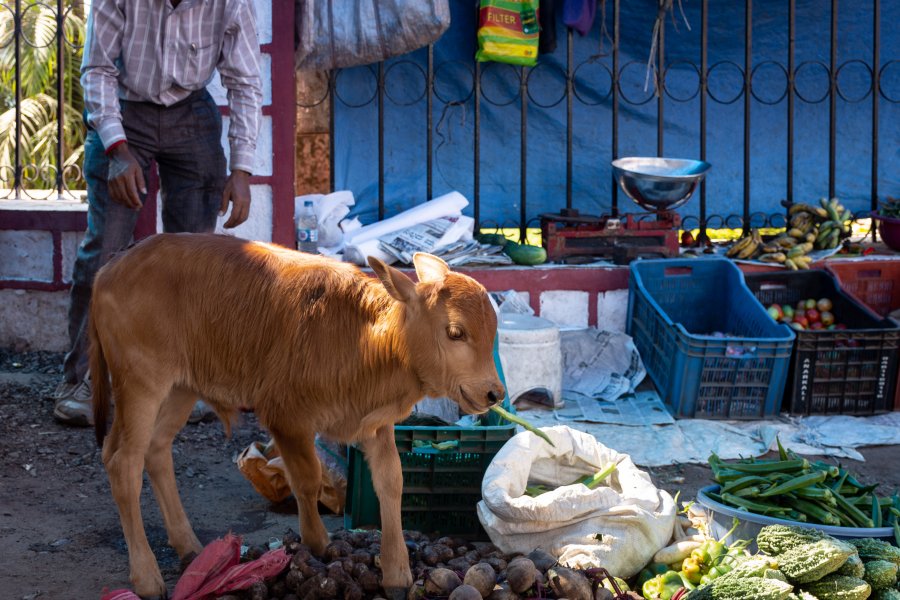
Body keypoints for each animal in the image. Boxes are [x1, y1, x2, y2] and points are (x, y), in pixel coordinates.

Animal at [89, 234, 506, 600]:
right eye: (455, 332)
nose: (494, 393)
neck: (365, 339)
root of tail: (110, 268)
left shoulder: (374, 422)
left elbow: (392, 481)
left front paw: (397, 573)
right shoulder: (287, 416)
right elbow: (307, 479)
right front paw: (317, 542)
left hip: (180, 387)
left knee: (156, 449)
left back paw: (188, 546)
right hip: (140, 383)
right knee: (123, 461)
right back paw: (146, 576)